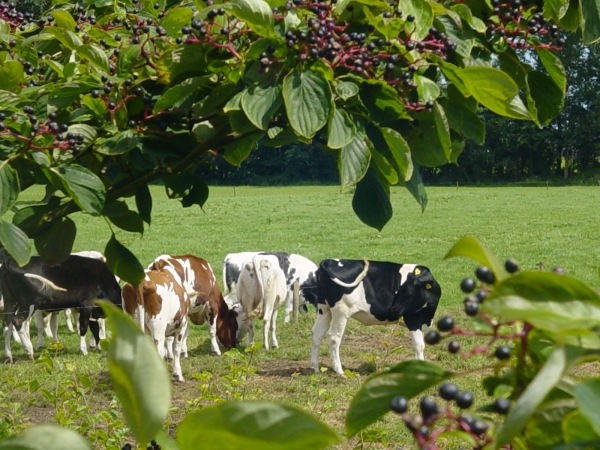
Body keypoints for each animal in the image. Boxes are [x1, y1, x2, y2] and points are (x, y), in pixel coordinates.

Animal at [310, 256, 440, 376]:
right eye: (402, 289)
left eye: (408, 292)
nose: (393, 310)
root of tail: (330, 260)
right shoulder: (413, 319)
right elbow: (419, 345)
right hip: (341, 311)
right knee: (334, 338)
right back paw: (340, 372)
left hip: (324, 308)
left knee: (317, 333)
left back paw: (315, 368)